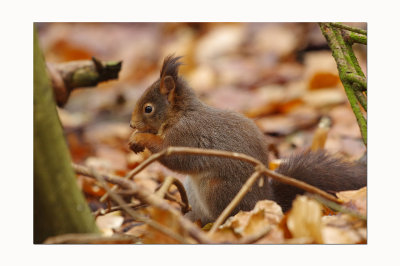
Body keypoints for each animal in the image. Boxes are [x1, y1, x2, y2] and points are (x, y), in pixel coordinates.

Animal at [130, 55, 368, 224]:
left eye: (148, 109)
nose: (132, 125)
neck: (180, 115)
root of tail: (263, 200)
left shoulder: (187, 136)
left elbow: (174, 156)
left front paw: (140, 138)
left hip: (216, 189)